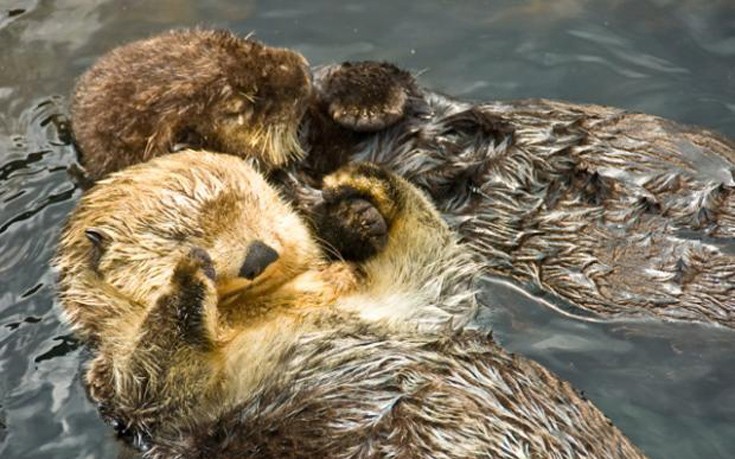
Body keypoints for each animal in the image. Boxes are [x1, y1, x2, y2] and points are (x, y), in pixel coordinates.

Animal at [54, 150, 648, 456]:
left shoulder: (402, 307)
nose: (258, 253)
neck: (265, 307)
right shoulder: (136, 392)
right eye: (180, 234)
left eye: (260, 204)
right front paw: (186, 279)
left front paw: (363, 182)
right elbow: (155, 384)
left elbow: (431, 267)